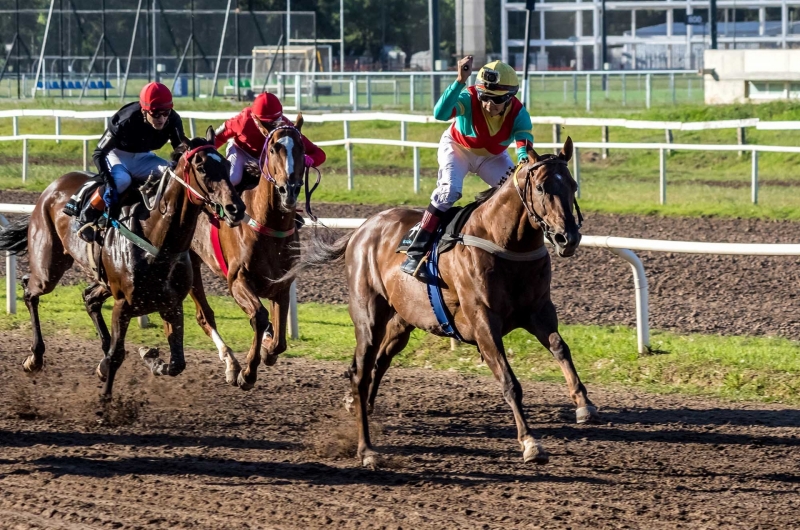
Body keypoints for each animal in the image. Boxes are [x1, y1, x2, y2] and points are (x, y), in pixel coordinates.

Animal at [0, 127, 245, 396]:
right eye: (201, 167)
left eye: (225, 164)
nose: (236, 208)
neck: (157, 240)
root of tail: (53, 186)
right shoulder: (123, 304)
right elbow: (117, 355)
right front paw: (106, 400)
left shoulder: (171, 304)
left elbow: (176, 363)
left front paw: (148, 358)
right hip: (48, 268)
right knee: (29, 289)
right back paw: (35, 357)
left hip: (101, 281)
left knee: (89, 298)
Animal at [189, 114, 308, 388]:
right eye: (274, 148)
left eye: (301, 148)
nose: (289, 190)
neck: (268, 225)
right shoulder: (237, 280)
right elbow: (260, 316)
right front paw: (248, 372)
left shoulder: (282, 285)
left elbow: (279, 341)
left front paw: (268, 349)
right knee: (204, 315)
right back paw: (231, 364)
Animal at [290, 138, 596, 464]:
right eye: (540, 188)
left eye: (573, 185)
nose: (568, 238)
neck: (506, 242)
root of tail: (361, 230)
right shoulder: (483, 322)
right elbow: (509, 382)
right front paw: (529, 442)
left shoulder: (538, 311)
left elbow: (560, 347)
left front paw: (583, 403)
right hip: (368, 316)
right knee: (363, 369)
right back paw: (366, 445)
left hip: (402, 320)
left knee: (379, 362)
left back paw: (359, 405)